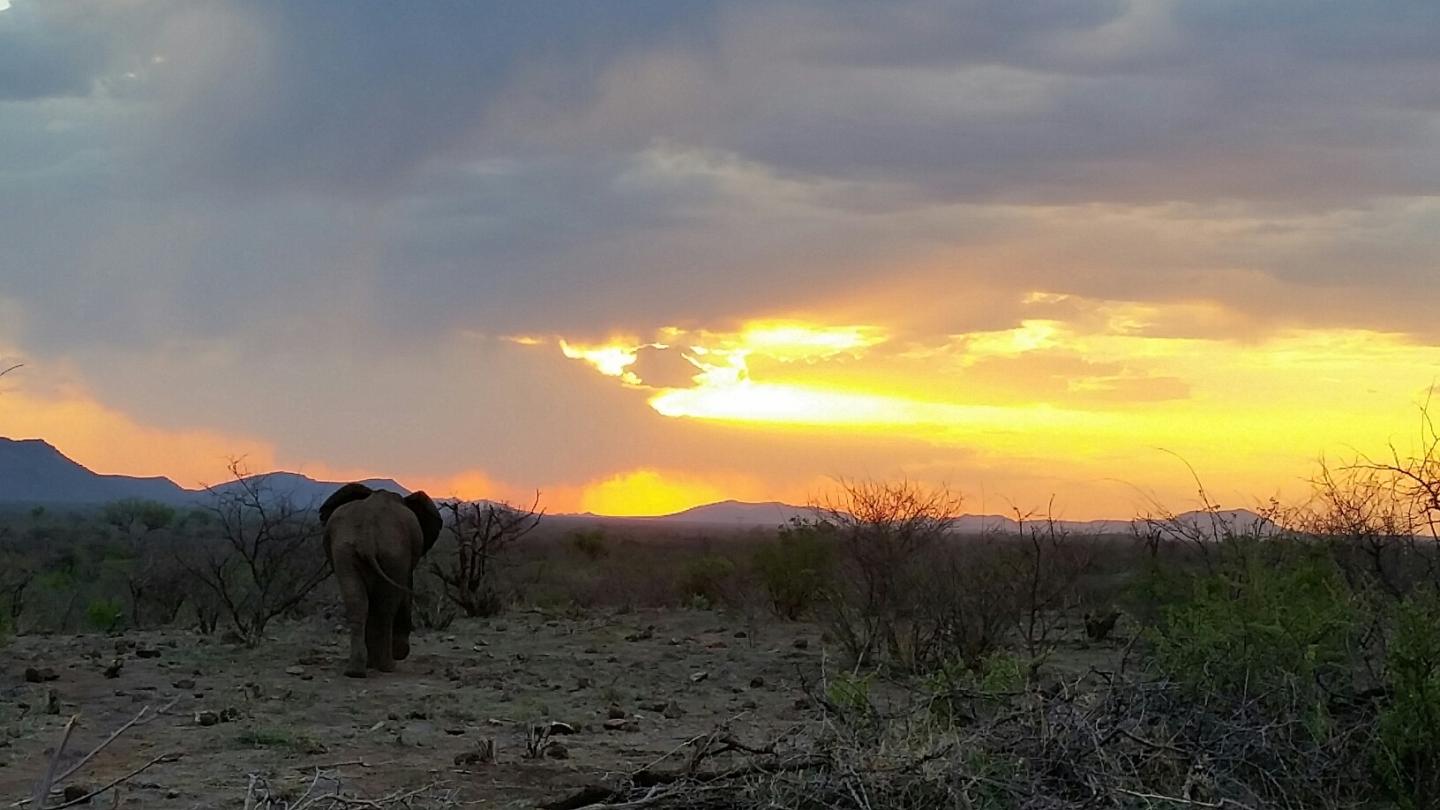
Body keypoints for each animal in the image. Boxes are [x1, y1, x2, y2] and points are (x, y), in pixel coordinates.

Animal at [318, 483, 442, 677]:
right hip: (394, 554)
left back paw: (356, 671)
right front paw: (398, 653)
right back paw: (387, 666)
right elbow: (405, 589)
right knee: (386, 607)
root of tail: (367, 537)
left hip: (347, 552)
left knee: (357, 603)